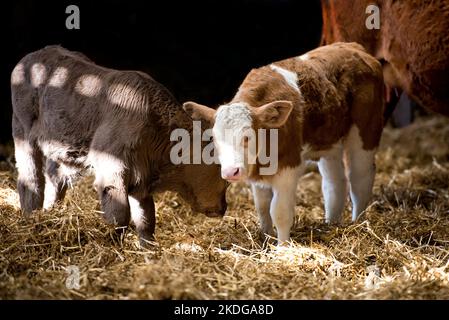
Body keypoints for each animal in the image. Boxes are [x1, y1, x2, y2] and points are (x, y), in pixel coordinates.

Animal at [10, 45, 228, 245]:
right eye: (222, 176)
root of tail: (32, 56)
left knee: (55, 178)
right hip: (23, 132)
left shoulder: (141, 180)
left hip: (61, 148)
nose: (224, 208)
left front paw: (148, 249)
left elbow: (146, 218)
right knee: (31, 178)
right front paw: (113, 244)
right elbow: (120, 214)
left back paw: (50, 213)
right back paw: (31, 216)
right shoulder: (112, 170)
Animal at [184, 42, 384, 242]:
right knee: (334, 183)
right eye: (214, 139)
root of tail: (354, 47)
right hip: (329, 139)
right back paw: (331, 224)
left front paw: (282, 246)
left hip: (366, 131)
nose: (230, 172)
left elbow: (279, 211)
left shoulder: (289, 166)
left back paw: (358, 224)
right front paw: (266, 238)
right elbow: (262, 206)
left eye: (247, 136)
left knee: (359, 179)